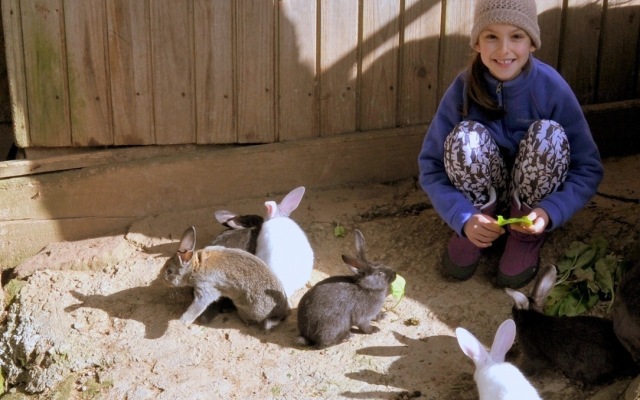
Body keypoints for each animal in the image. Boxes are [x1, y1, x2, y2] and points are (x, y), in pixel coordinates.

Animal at [160, 227, 290, 330]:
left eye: (169, 271)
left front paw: (181, 321)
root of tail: (281, 313)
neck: (195, 266)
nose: (161, 277)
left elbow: (197, 307)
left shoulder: (206, 289)